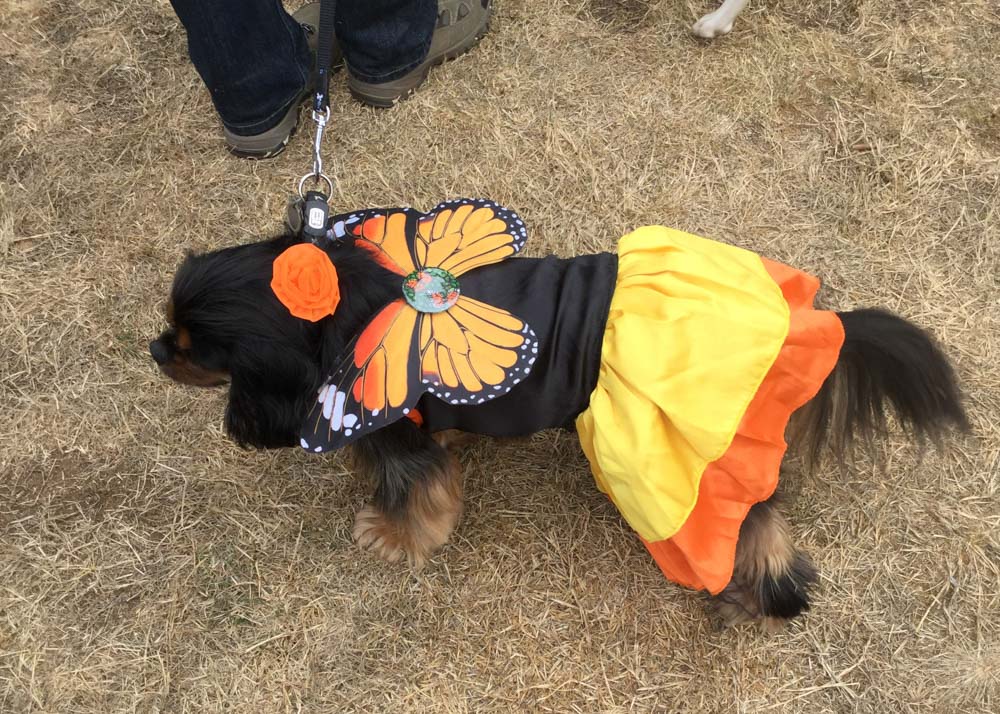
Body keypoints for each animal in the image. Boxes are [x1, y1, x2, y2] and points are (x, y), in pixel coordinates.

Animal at [150, 213, 968, 628]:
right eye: (173, 332)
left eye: (193, 348)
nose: (153, 349)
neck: (344, 306)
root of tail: (800, 323)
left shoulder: (394, 435)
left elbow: (420, 494)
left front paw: (395, 537)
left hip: (689, 464)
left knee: (753, 527)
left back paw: (767, 596)